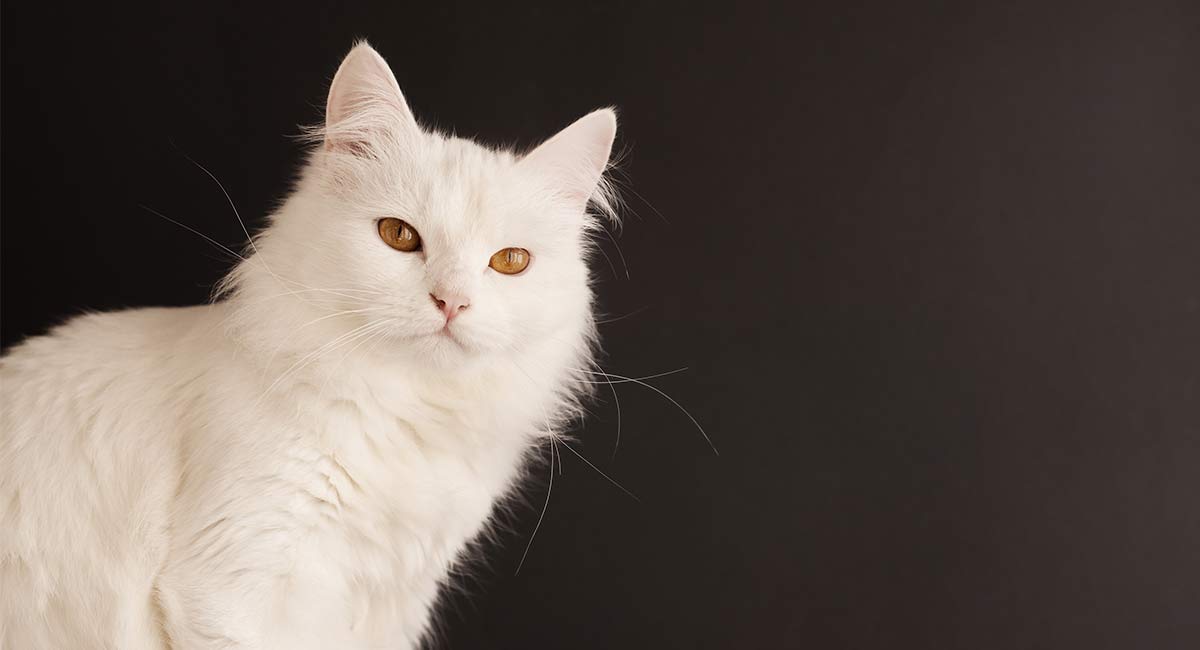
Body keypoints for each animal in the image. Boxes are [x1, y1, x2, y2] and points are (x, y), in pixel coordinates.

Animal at [0, 43, 619, 647]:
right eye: (399, 236)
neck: (405, 413)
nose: (452, 302)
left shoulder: (395, 604)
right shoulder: (231, 586)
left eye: (510, 262)